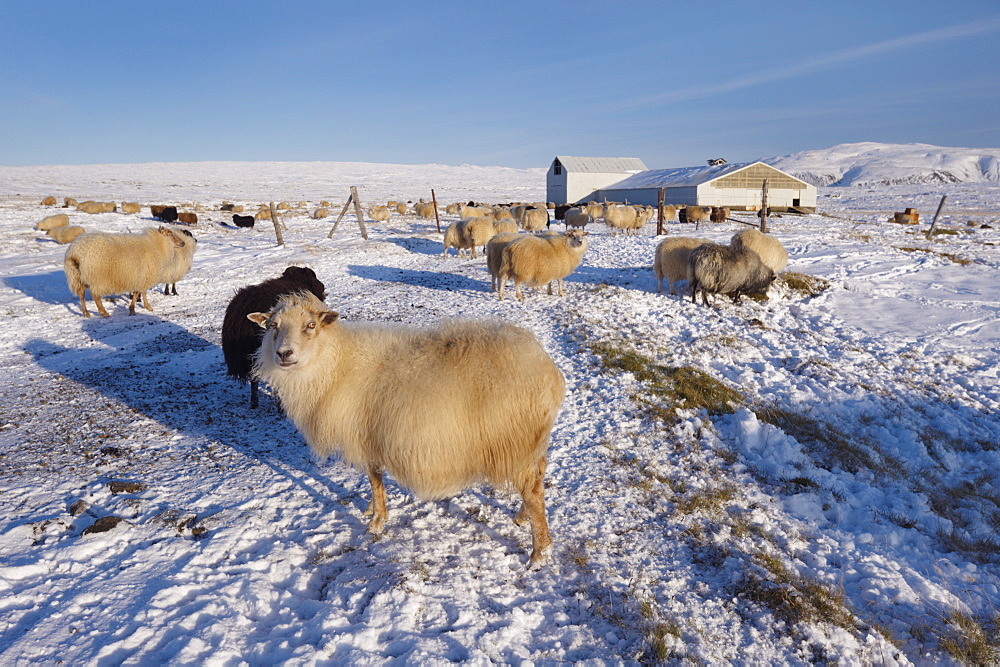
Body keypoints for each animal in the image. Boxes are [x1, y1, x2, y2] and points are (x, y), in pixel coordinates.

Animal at [247, 292, 568, 568]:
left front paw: (376, 522)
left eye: (310, 325)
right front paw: (370, 510)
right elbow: (374, 482)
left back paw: (539, 553)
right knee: (539, 476)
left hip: (516, 439)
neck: (336, 364)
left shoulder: (368, 437)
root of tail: (546, 368)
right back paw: (522, 518)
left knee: (533, 491)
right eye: (273, 326)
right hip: (531, 442)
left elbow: (375, 481)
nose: (284, 354)